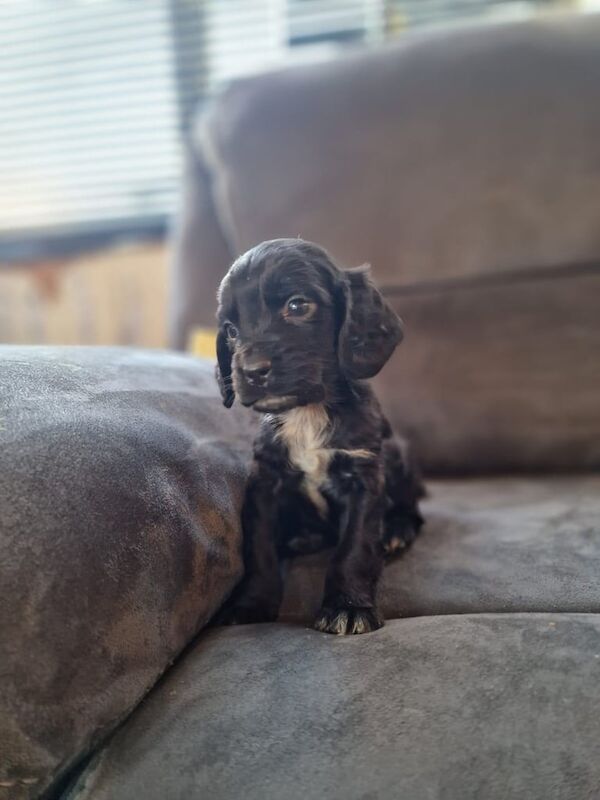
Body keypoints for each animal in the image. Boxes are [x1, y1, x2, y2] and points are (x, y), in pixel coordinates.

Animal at [213, 238, 424, 636]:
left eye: (298, 305)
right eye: (231, 329)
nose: (250, 371)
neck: (307, 412)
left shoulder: (363, 477)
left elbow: (353, 548)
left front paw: (348, 606)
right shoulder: (265, 483)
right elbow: (260, 550)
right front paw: (251, 604)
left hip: (396, 455)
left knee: (413, 510)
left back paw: (396, 530)